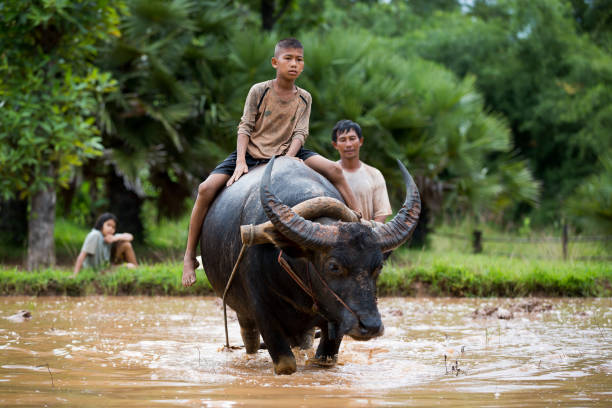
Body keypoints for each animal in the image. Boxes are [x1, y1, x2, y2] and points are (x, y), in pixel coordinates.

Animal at [202, 158, 420, 374]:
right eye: (333, 266)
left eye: (379, 267)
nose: (371, 326)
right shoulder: (263, 312)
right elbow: (286, 364)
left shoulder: (336, 319)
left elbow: (324, 360)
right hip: (243, 313)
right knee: (251, 339)